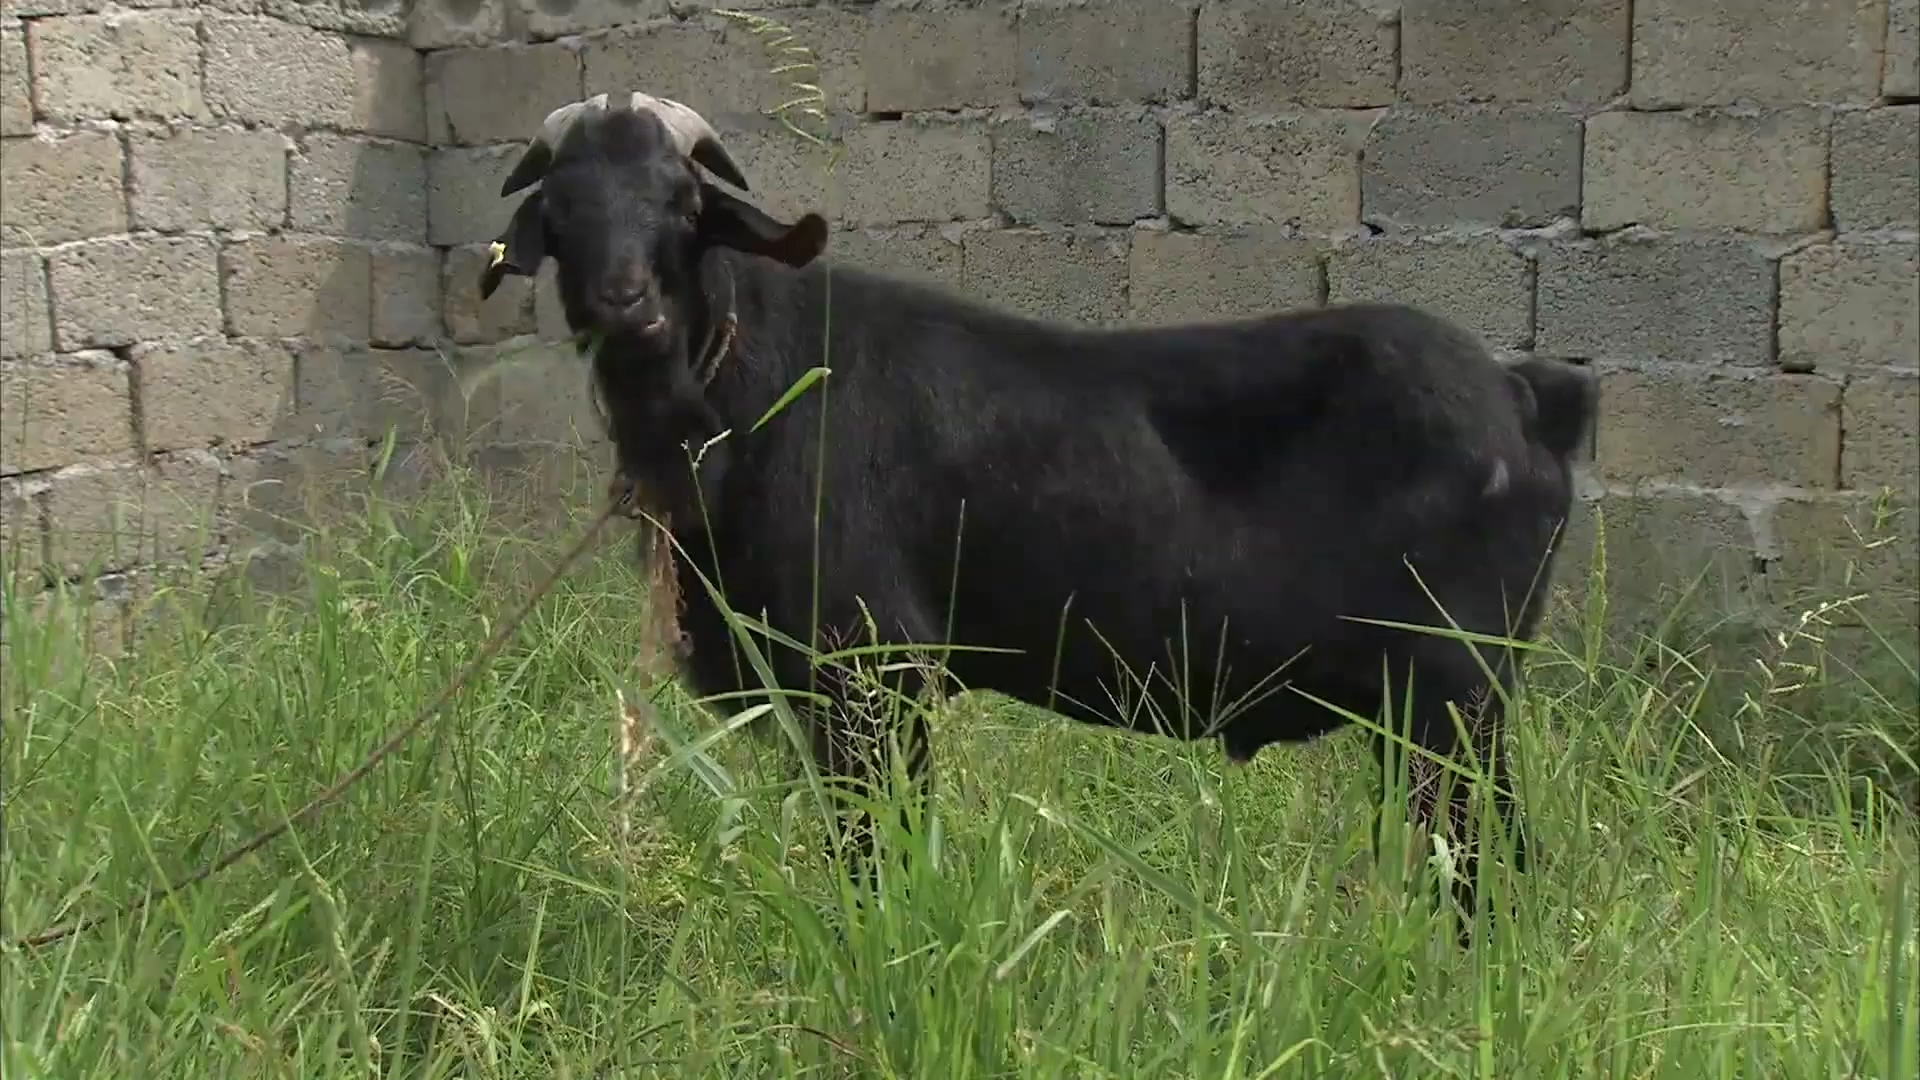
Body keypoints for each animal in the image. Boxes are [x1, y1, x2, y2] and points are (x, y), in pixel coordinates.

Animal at [483, 88, 1605, 922]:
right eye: (562, 211)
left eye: (682, 202)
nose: (625, 305)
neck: (739, 386)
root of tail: (1525, 397)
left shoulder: (873, 667)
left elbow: (878, 853)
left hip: (1454, 690)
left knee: (1492, 862)